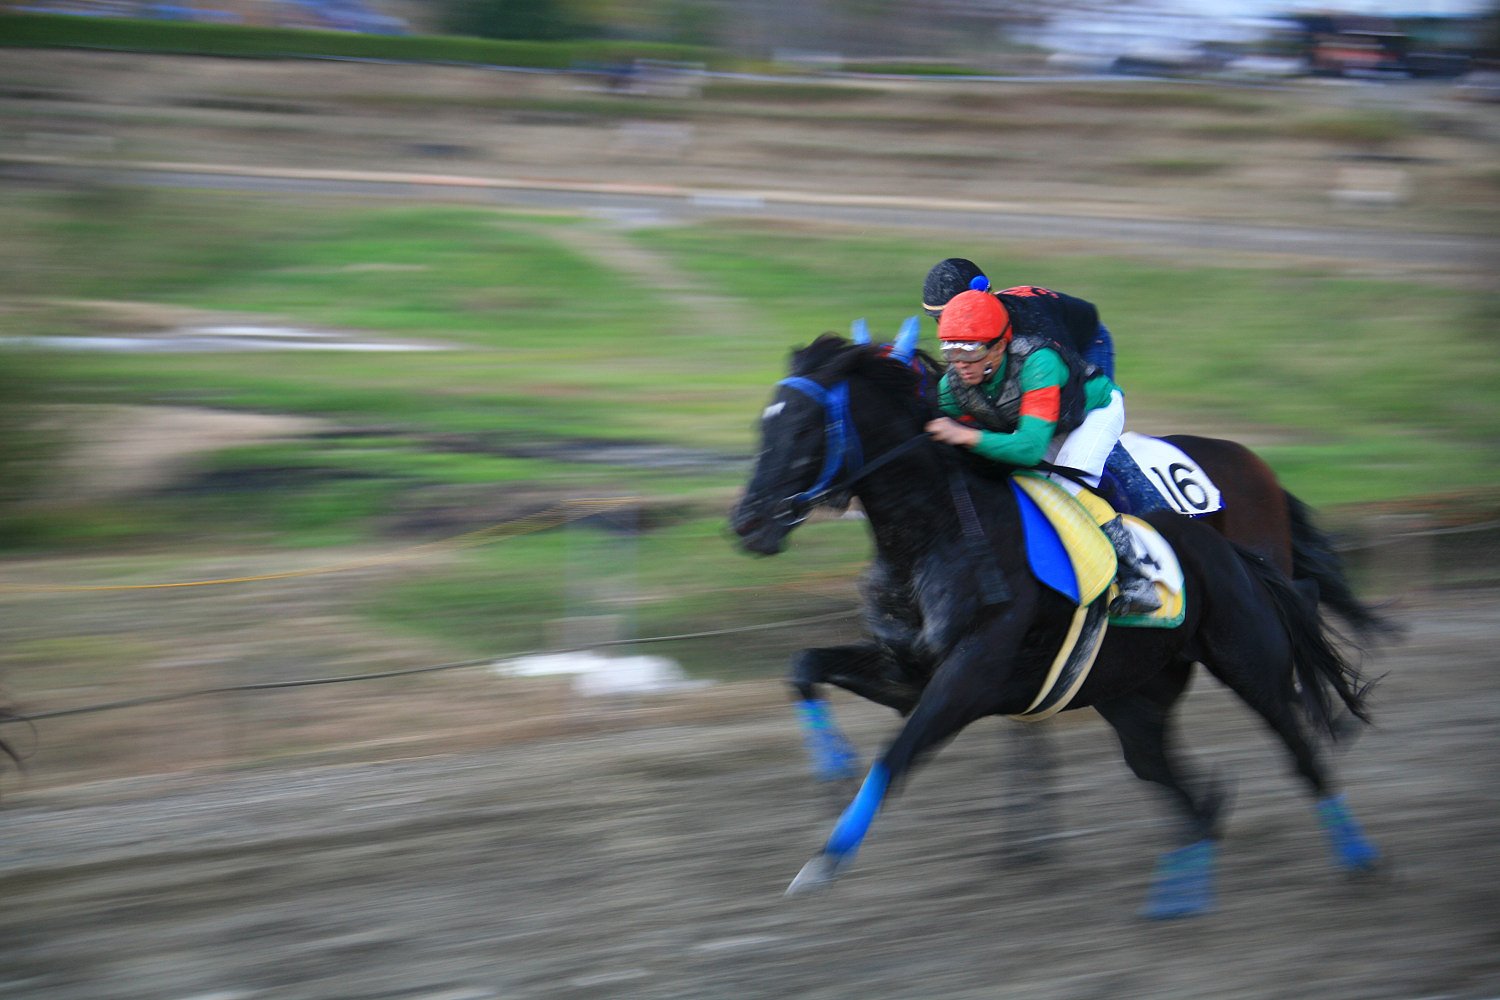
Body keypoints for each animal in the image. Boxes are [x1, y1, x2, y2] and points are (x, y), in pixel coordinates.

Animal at [729, 332, 1381, 917]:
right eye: (763, 427)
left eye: (805, 429)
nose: (746, 522)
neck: (934, 535)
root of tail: (1230, 550)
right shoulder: (906, 674)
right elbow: (803, 667)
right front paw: (833, 766)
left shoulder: (968, 679)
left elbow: (895, 757)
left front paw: (825, 861)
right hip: (1132, 697)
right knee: (1191, 794)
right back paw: (1178, 893)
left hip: (1249, 664)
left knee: (1297, 747)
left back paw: (1358, 856)